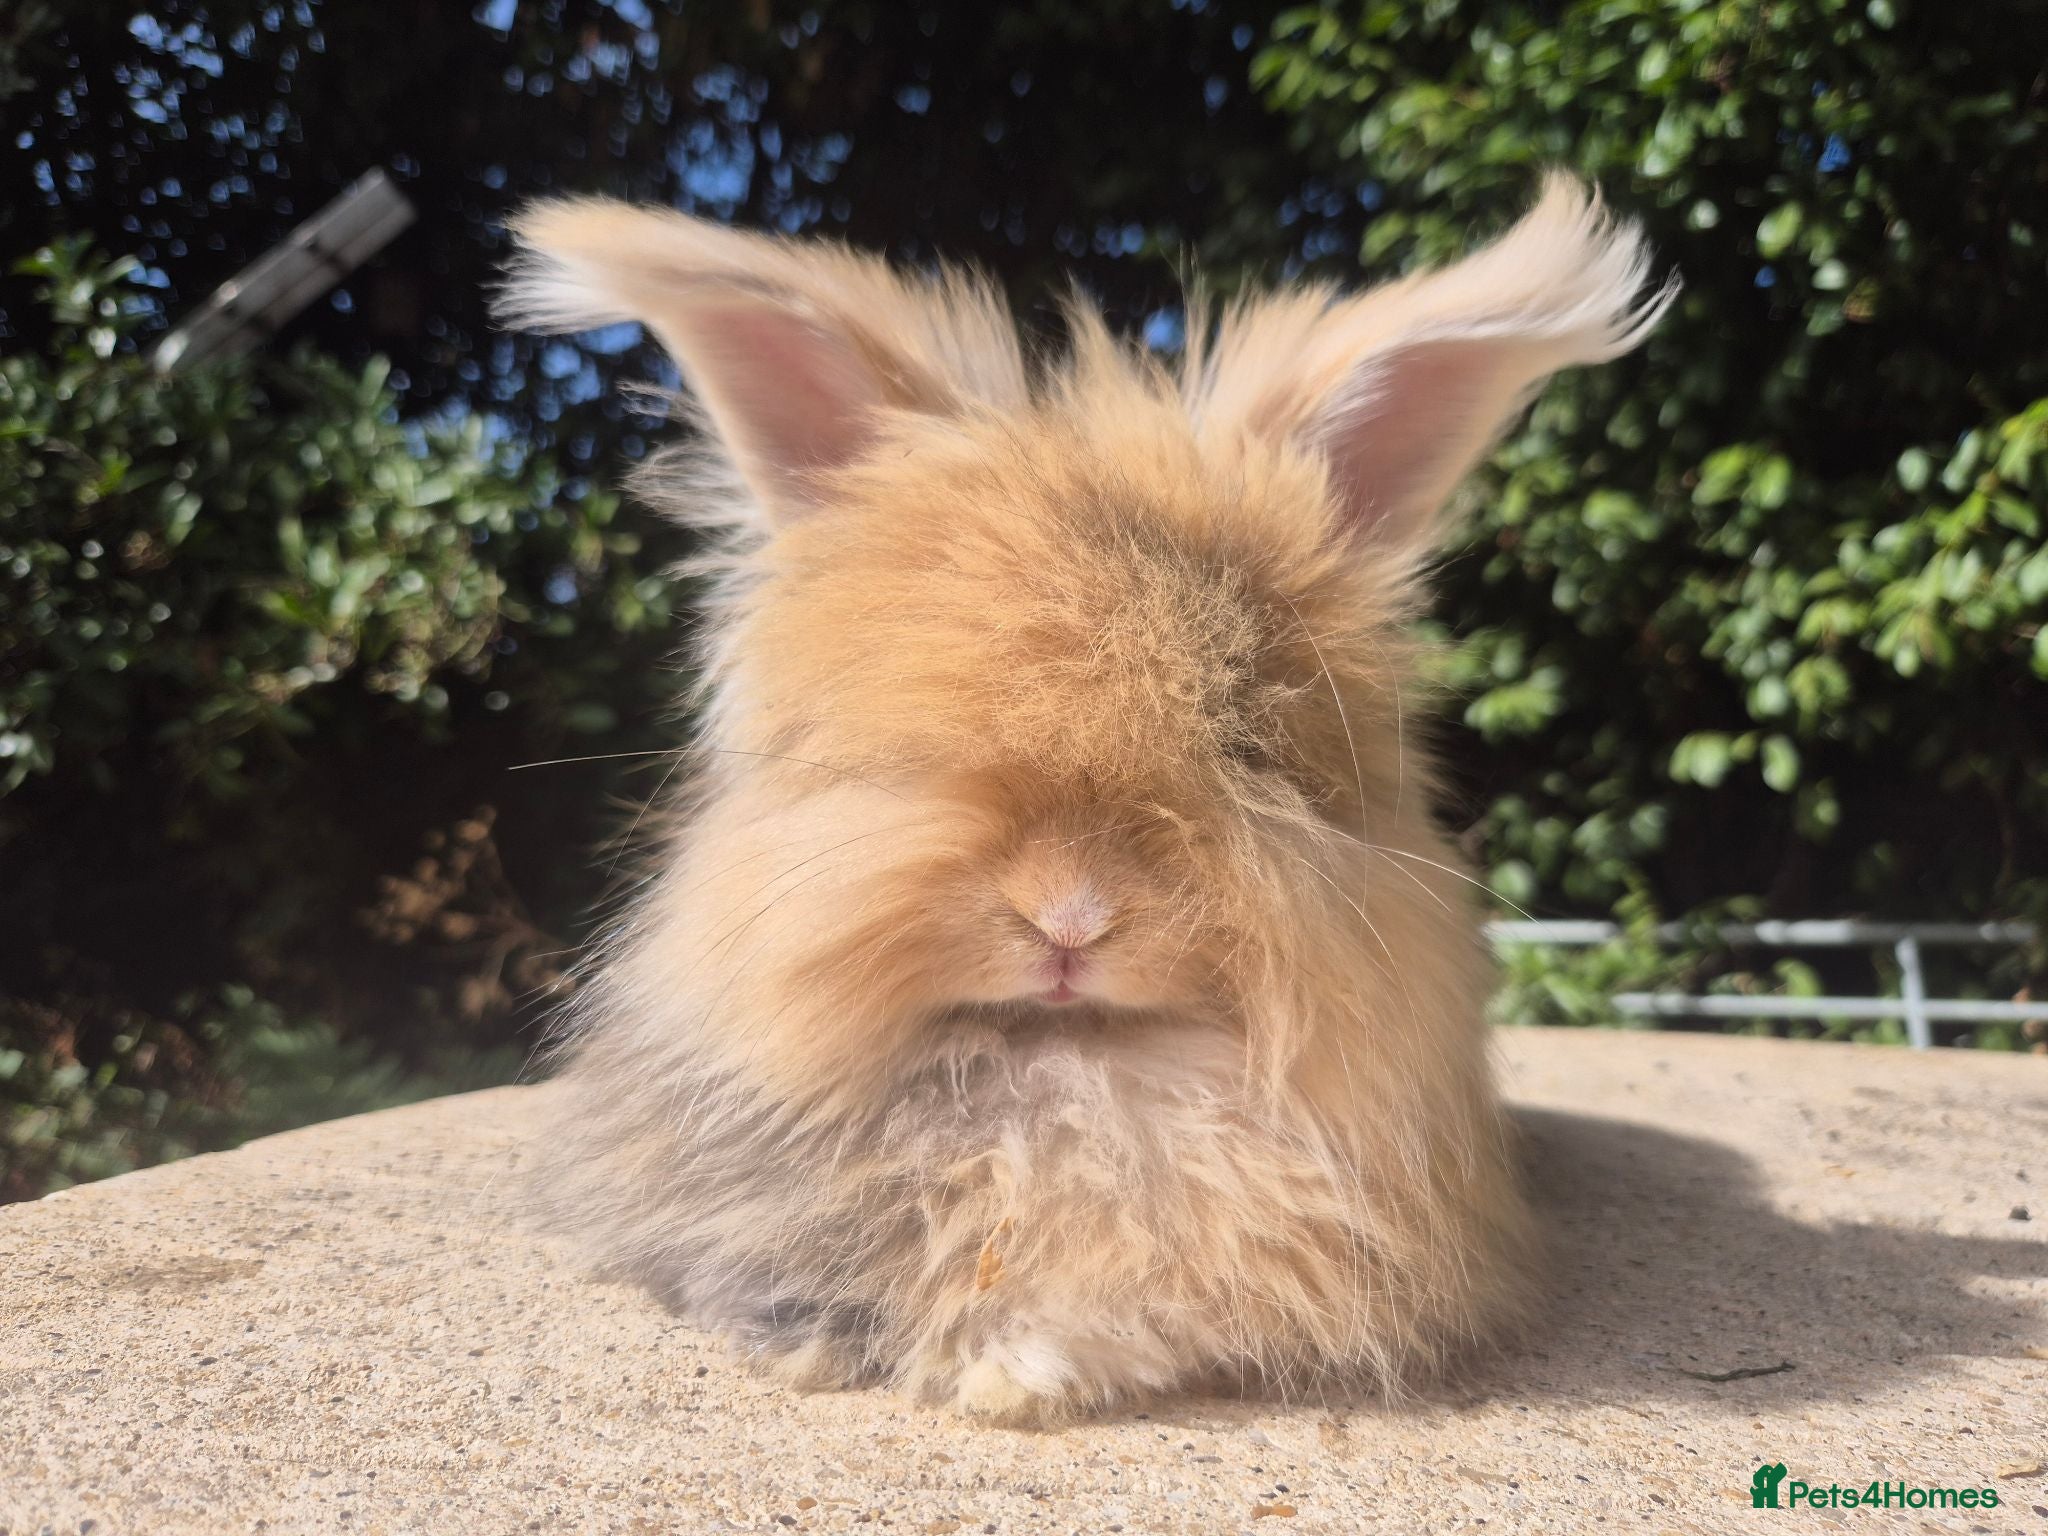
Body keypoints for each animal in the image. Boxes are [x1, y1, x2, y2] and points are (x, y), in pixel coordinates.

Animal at [498, 174, 1673, 1423]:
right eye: (907, 746)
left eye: (1243, 744)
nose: (1070, 918)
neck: (1068, 1075)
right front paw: (834, 1348)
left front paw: (1014, 1373)